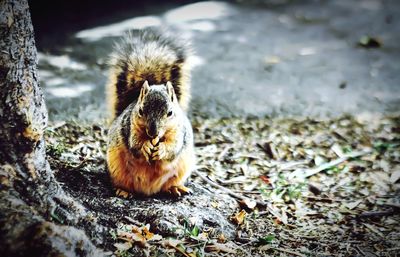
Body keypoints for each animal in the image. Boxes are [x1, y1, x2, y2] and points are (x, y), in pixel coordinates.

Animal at [105, 28, 195, 196]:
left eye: (170, 113)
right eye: (140, 111)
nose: (153, 133)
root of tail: (148, 190)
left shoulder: (179, 132)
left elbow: (173, 147)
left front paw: (160, 149)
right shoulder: (130, 127)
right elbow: (135, 144)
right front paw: (145, 146)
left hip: (182, 168)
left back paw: (175, 188)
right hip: (115, 167)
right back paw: (123, 190)